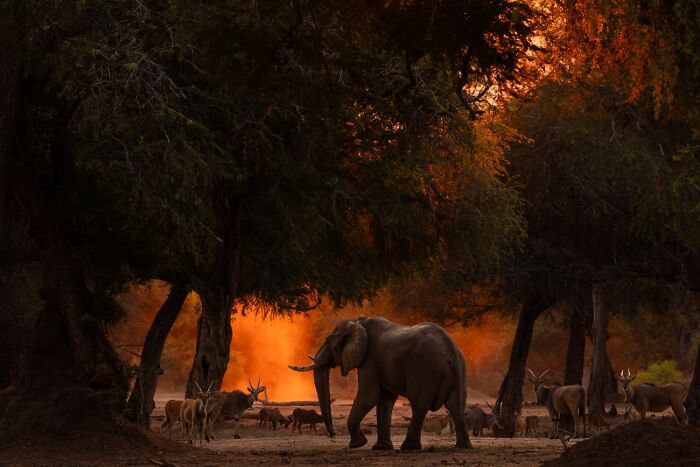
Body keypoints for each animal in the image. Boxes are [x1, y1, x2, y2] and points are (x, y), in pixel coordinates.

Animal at [289, 316, 471, 451]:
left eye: (328, 341)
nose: (332, 435)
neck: (357, 322)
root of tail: (450, 349)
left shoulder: (370, 360)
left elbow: (368, 397)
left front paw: (358, 444)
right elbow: (384, 400)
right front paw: (380, 448)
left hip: (424, 368)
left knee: (419, 406)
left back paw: (408, 448)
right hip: (460, 370)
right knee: (456, 406)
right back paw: (462, 447)